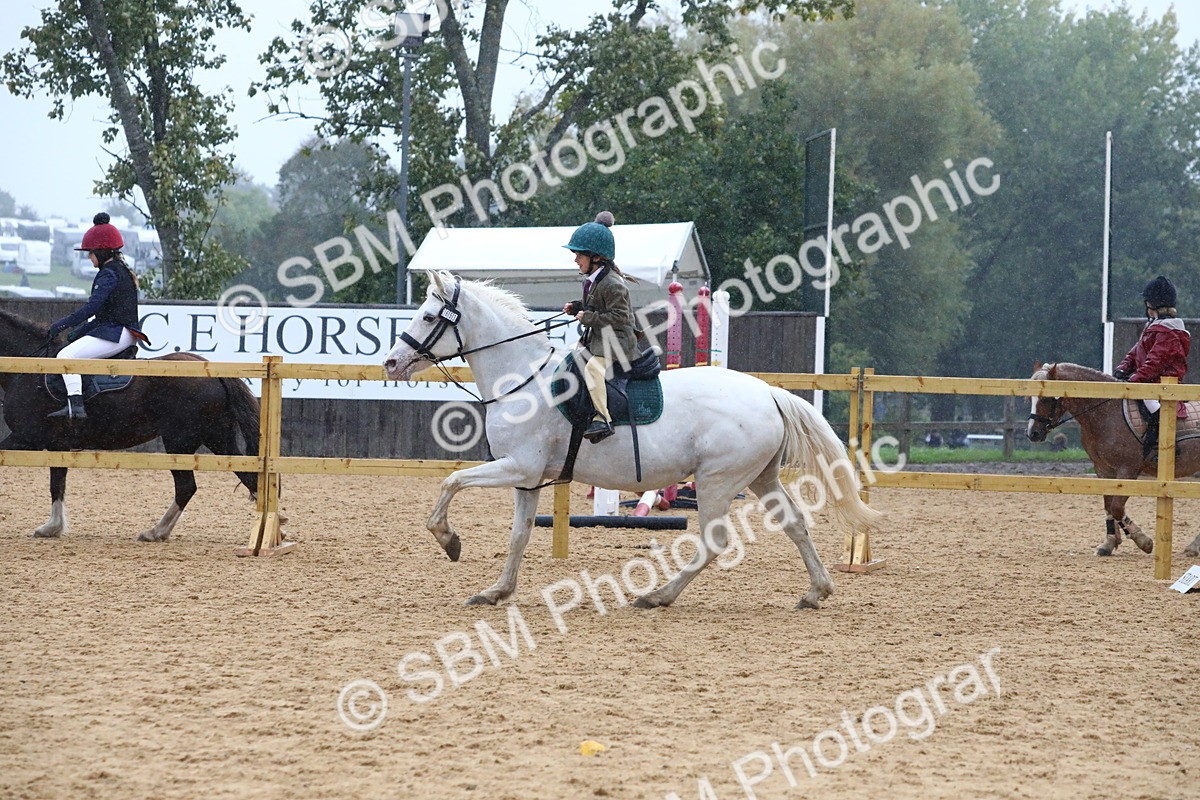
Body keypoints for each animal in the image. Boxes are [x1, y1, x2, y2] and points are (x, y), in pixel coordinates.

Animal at [0, 309, 260, 541]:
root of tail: (210, 369)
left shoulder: (25, 437)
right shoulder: (57, 445)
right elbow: (57, 483)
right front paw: (52, 528)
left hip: (180, 442)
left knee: (186, 486)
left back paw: (155, 532)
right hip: (218, 437)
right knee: (246, 475)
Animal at [382, 271, 882, 609]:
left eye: (429, 315)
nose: (391, 362)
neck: (523, 378)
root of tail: (769, 392)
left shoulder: (517, 467)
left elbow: (451, 482)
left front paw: (449, 540)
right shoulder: (527, 478)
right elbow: (519, 535)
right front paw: (497, 591)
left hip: (718, 481)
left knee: (714, 541)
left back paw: (658, 596)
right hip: (760, 477)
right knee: (795, 524)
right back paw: (817, 591)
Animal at [1026, 362, 1200, 557]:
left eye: (1046, 399)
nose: (1033, 433)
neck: (1106, 412)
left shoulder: (1127, 470)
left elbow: (1117, 507)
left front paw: (1143, 540)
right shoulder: (1104, 469)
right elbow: (1108, 505)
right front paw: (1109, 543)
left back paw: (1193, 547)